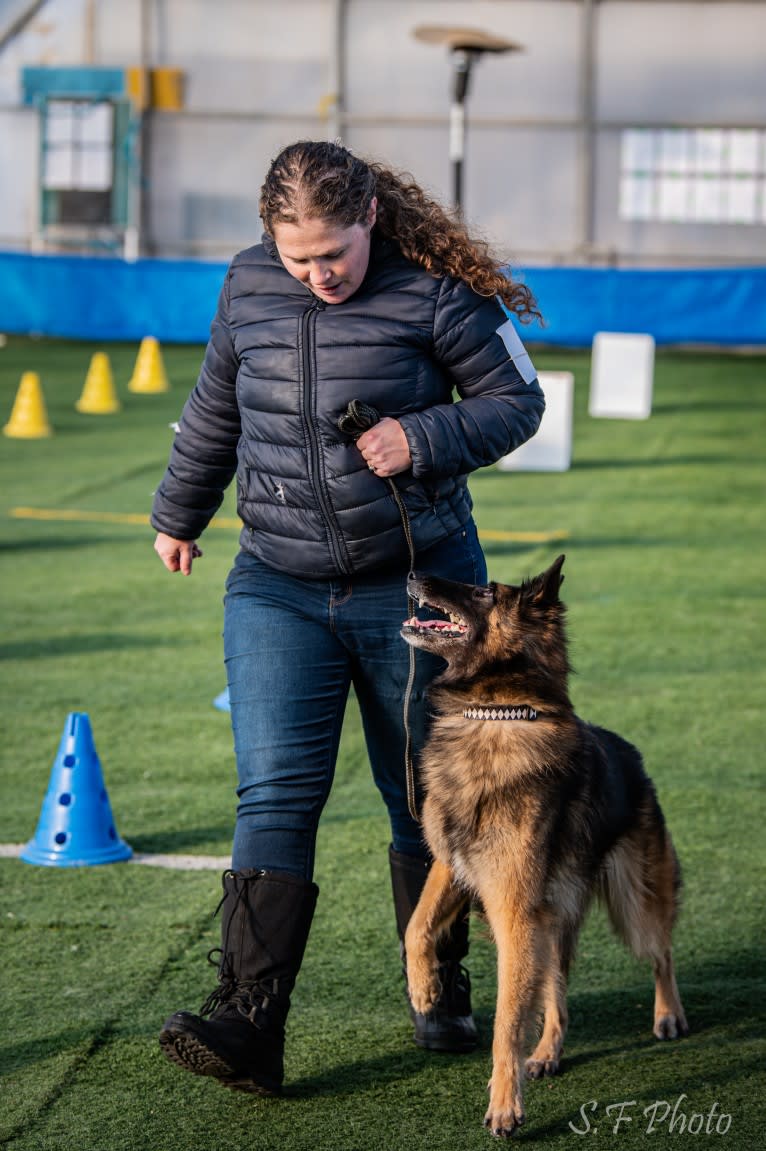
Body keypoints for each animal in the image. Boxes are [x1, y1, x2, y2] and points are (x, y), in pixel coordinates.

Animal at [400, 554, 685, 1132]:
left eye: (485, 591)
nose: (413, 571)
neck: (491, 715)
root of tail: (635, 758)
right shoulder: (452, 865)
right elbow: (417, 925)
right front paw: (424, 988)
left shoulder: (512, 912)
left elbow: (507, 1022)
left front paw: (504, 1105)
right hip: (549, 926)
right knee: (558, 996)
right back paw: (549, 1052)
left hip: (632, 903)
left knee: (661, 951)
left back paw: (668, 1014)